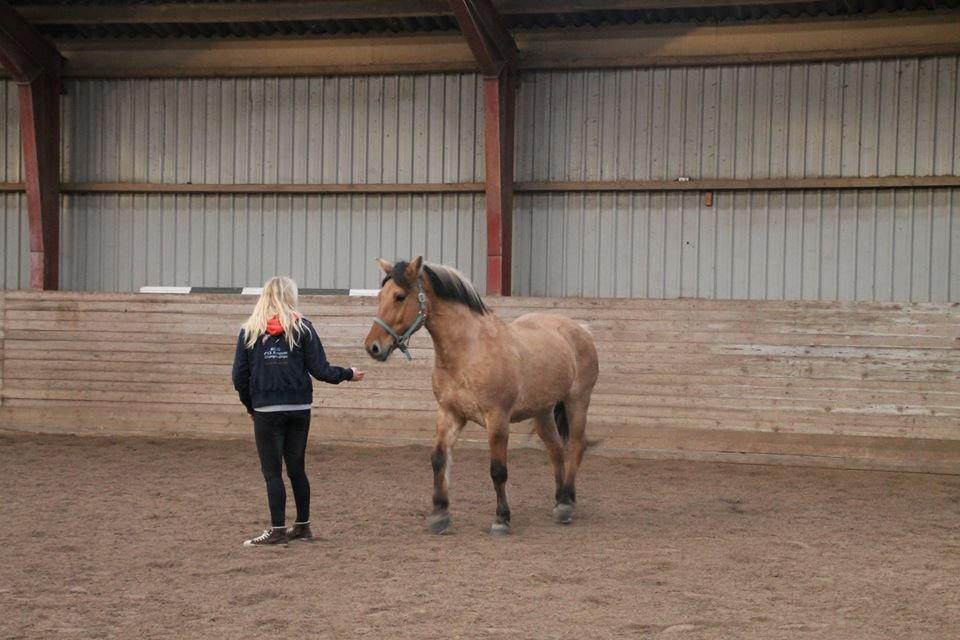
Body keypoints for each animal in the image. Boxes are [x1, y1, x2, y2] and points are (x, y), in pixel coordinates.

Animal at [362, 256, 596, 536]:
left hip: (577, 402)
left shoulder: (497, 419)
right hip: (543, 411)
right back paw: (560, 500)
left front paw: (501, 519)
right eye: (380, 296)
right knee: (556, 450)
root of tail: (580, 329)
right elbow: (439, 459)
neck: (468, 351)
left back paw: (567, 505)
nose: (373, 347)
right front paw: (439, 514)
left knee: (576, 446)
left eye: (399, 296)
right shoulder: (449, 414)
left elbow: (498, 470)